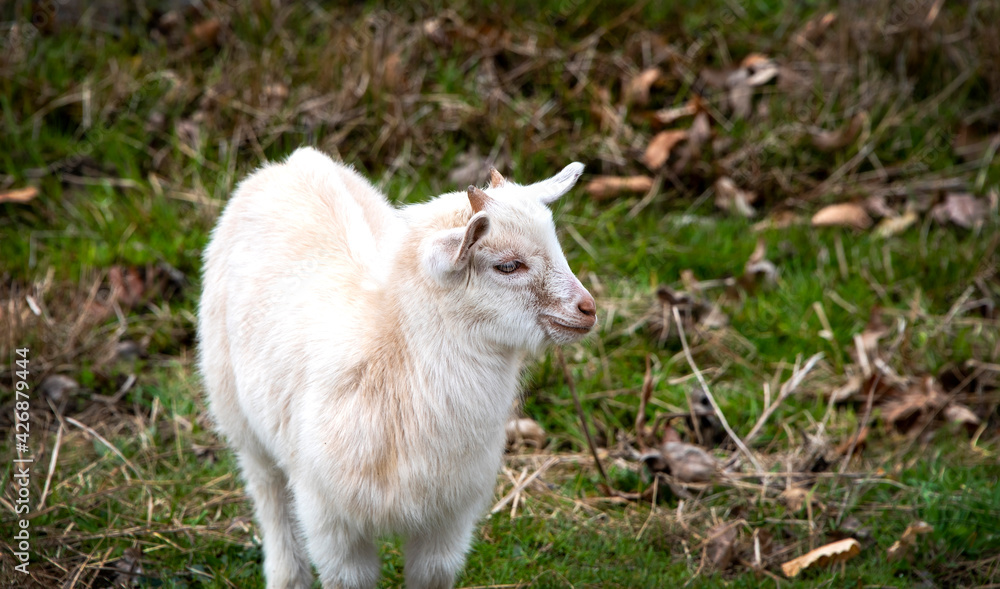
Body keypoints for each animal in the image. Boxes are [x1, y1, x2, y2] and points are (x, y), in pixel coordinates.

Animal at [197, 147, 596, 589]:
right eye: (508, 266)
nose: (588, 309)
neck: (393, 354)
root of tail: (292, 161)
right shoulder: (330, 522)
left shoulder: (447, 521)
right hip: (240, 418)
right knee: (272, 504)